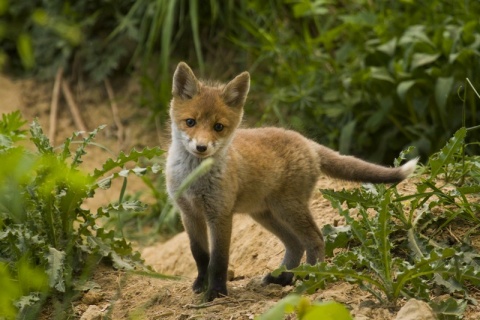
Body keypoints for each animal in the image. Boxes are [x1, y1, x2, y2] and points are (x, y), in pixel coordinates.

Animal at [164, 61, 416, 302]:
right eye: (190, 122)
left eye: (218, 127)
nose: (201, 147)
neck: (193, 179)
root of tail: (307, 142)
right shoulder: (189, 213)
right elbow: (199, 255)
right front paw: (201, 285)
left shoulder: (220, 215)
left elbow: (218, 260)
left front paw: (216, 292)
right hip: (267, 214)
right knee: (295, 243)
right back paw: (283, 277)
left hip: (288, 209)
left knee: (315, 239)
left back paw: (313, 276)